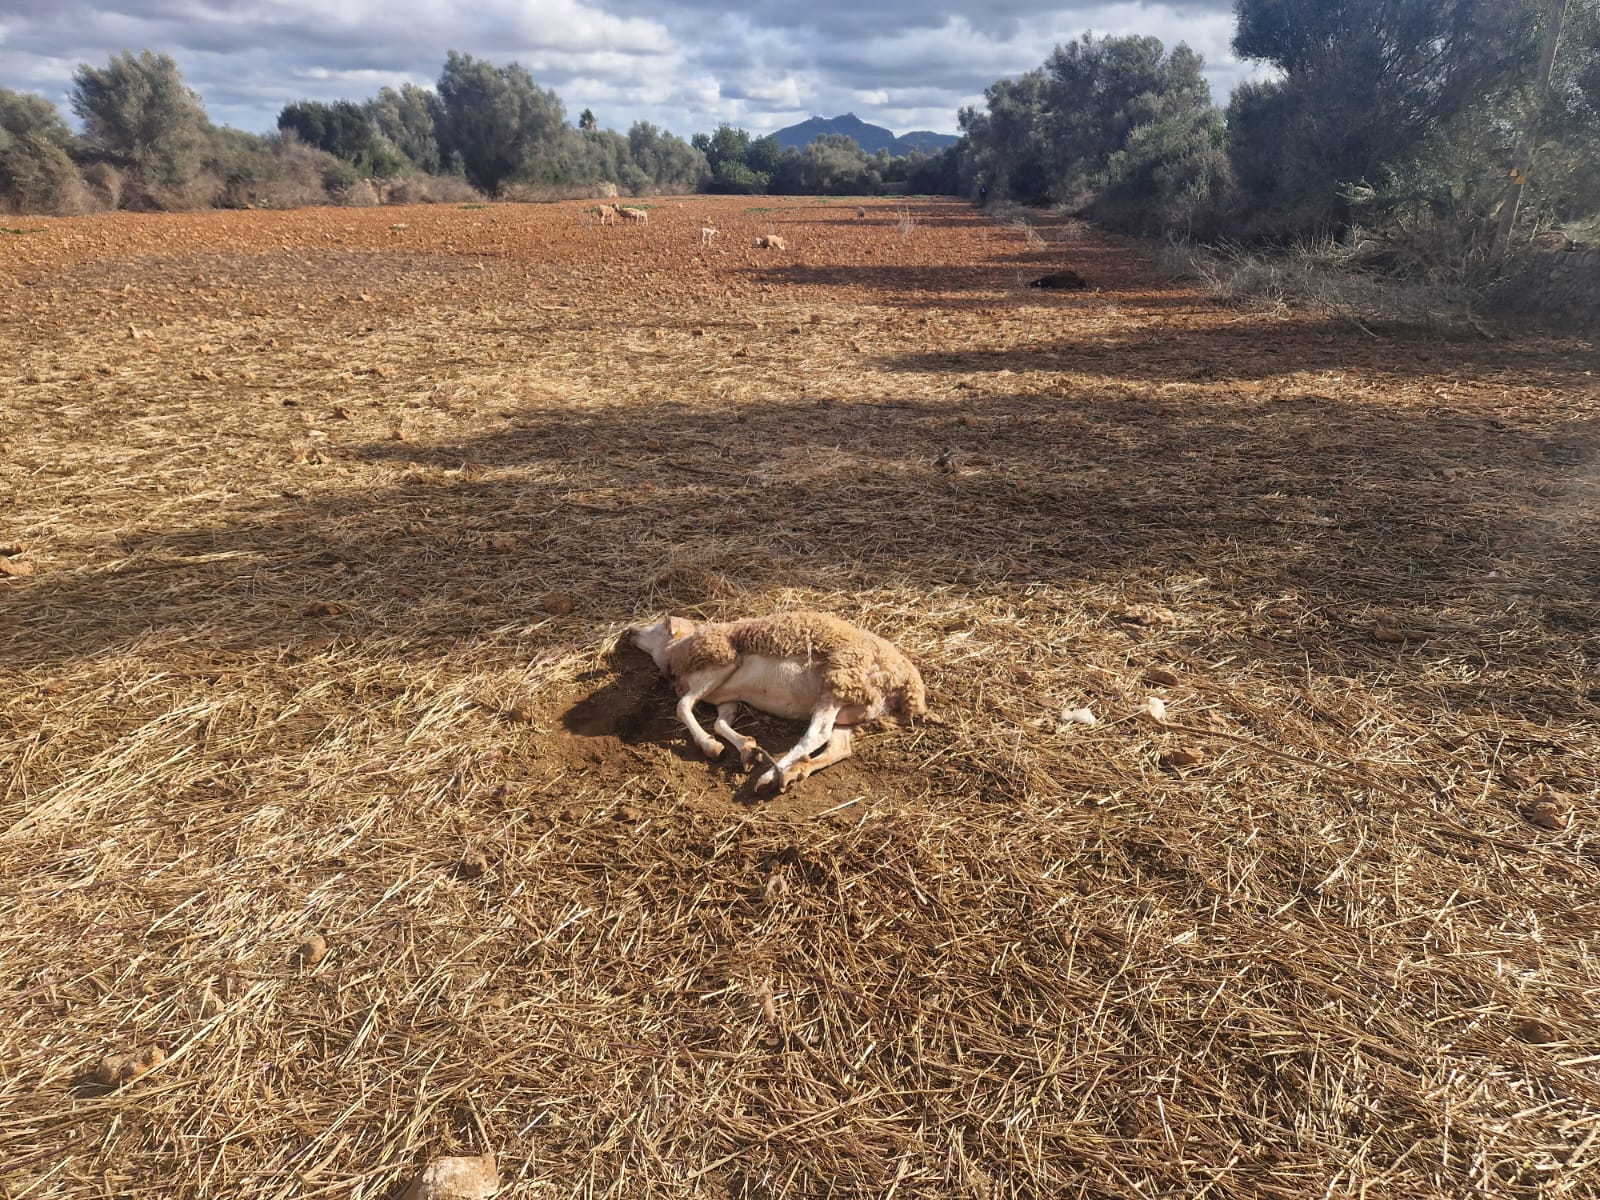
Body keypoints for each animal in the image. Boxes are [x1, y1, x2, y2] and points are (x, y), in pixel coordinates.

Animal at [627, 611, 928, 800]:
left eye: (660, 625)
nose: (630, 630)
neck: (674, 653)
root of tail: (908, 686)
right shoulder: (727, 699)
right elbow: (720, 722)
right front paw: (747, 749)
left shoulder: (721, 664)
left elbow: (683, 706)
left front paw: (710, 746)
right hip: (852, 709)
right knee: (839, 747)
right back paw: (794, 773)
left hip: (841, 679)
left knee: (817, 734)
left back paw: (772, 776)